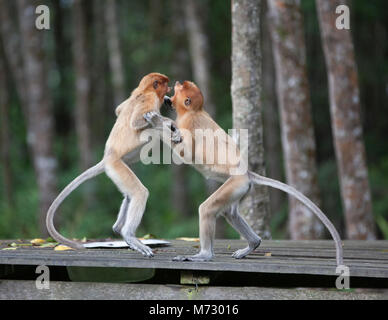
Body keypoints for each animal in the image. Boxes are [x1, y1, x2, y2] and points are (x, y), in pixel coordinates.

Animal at [46, 72, 183, 258]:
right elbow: (137, 122)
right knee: (140, 190)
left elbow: (118, 110)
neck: (143, 90)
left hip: (119, 168)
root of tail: (107, 157)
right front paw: (166, 122)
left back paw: (119, 230)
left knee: (129, 195)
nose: (169, 89)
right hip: (116, 165)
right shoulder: (149, 99)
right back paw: (129, 235)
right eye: (164, 83)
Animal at [162, 81, 344, 266]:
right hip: (239, 188)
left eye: (182, 87)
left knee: (207, 209)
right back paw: (253, 243)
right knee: (230, 213)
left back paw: (203, 255)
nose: (176, 83)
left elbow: (185, 152)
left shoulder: (189, 123)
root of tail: (247, 173)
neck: (194, 111)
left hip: (236, 183)